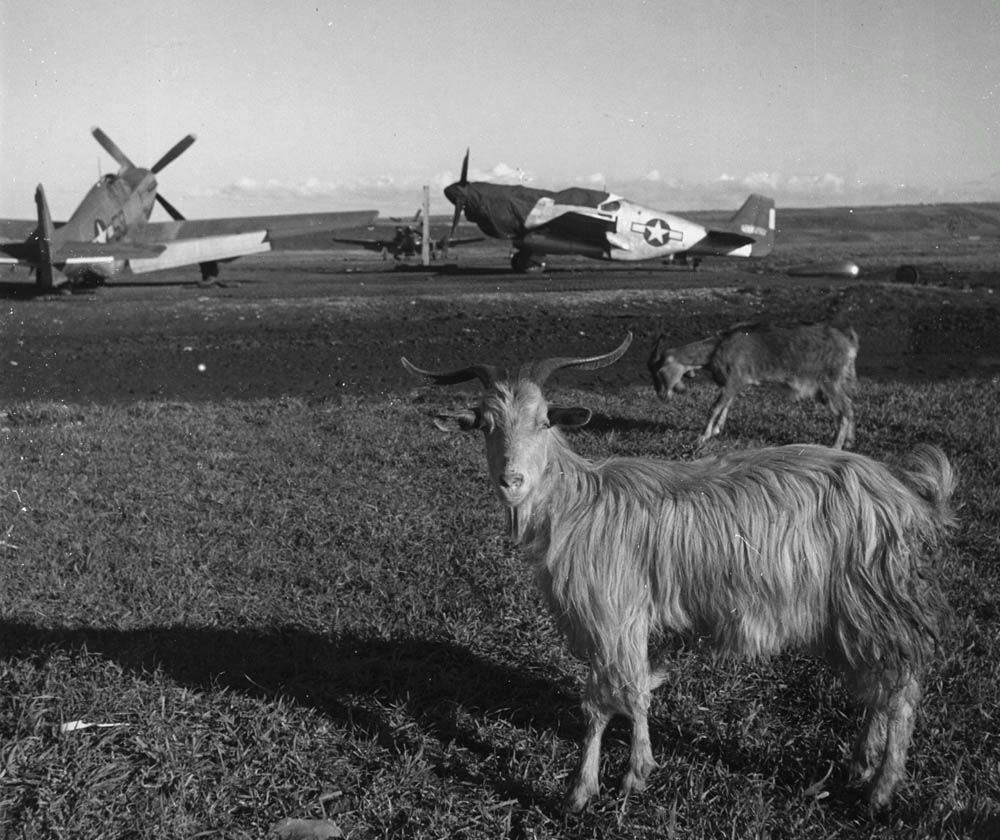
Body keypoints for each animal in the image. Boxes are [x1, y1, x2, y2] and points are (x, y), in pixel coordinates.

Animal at [648, 322, 860, 450]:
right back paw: (849, 442)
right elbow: (726, 405)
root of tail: (849, 341)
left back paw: (835, 446)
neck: (717, 347)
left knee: (844, 410)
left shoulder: (734, 380)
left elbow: (715, 407)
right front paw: (716, 430)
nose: (661, 395)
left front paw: (702, 436)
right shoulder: (733, 385)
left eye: (660, 371)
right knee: (848, 407)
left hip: (830, 382)